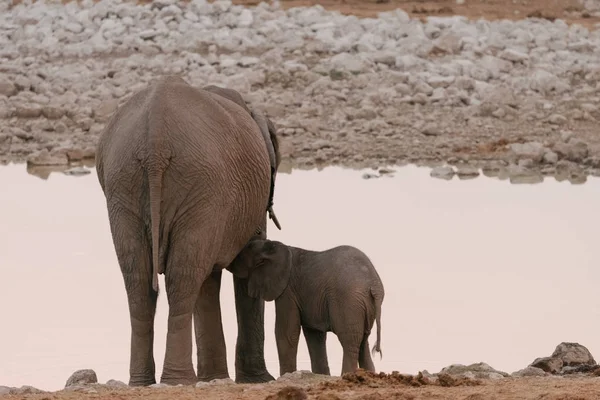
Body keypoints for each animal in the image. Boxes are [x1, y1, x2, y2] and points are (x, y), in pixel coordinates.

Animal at [95, 76, 282, 386]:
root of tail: (155, 139)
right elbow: (248, 265)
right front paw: (259, 380)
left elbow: (209, 279)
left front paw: (216, 378)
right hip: (197, 184)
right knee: (182, 278)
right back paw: (179, 380)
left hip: (125, 185)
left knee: (142, 279)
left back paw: (145, 382)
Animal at [225, 239, 384, 376]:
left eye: (247, 249)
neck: (277, 247)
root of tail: (373, 285)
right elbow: (314, 334)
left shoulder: (288, 290)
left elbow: (286, 332)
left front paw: (286, 377)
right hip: (363, 305)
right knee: (363, 341)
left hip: (347, 301)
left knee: (349, 342)